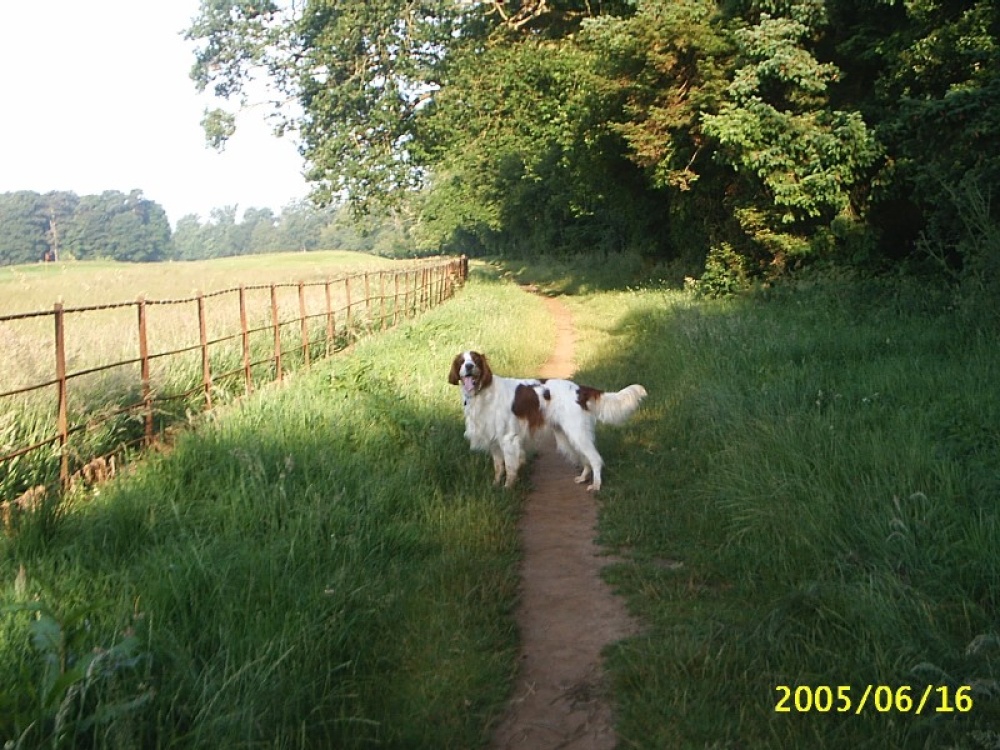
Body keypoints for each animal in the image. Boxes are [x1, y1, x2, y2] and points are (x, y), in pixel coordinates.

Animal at [448, 352, 648, 494]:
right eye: (462, 361)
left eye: (475, 359)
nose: (469, 366)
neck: (483, 393)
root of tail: (580, 389)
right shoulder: (494, 441)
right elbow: (499, 467)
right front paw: (495, 485)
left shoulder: (508, 439)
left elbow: (510, 468)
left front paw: (507, 489)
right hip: (568, 434)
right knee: (585, 458)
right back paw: (583, 478)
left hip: (577, 432)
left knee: (595, 459)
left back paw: (596, 485)